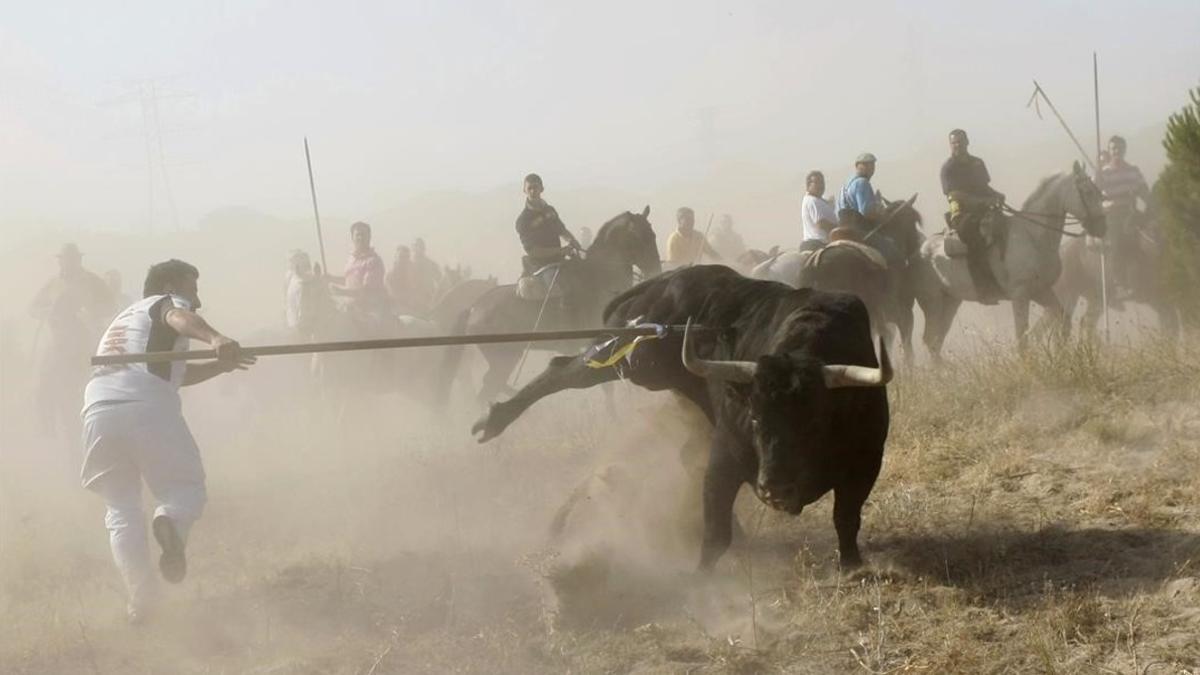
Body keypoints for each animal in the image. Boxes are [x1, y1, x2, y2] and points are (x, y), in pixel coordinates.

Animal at [470, 263, 892, 566]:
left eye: (815, 422)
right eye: (756, 418)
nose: (774, 488)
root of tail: (662, 282)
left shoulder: (866, 462)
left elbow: (846, 517)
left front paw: (852, 565)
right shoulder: (726, 455)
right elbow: (715, 531)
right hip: (636, 359)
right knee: (563, 370)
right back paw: (493, 420)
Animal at [916, 162, 1104, 357]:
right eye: (1088, 191)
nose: (1102, 226)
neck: (1032, 236)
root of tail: (920, 250)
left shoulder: (1041, 291)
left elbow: (1061, 319)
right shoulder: (1020, 295)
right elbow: (1022, 338)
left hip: (951, 301)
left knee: (936, 340)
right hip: (933, 302)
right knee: (931, 340)